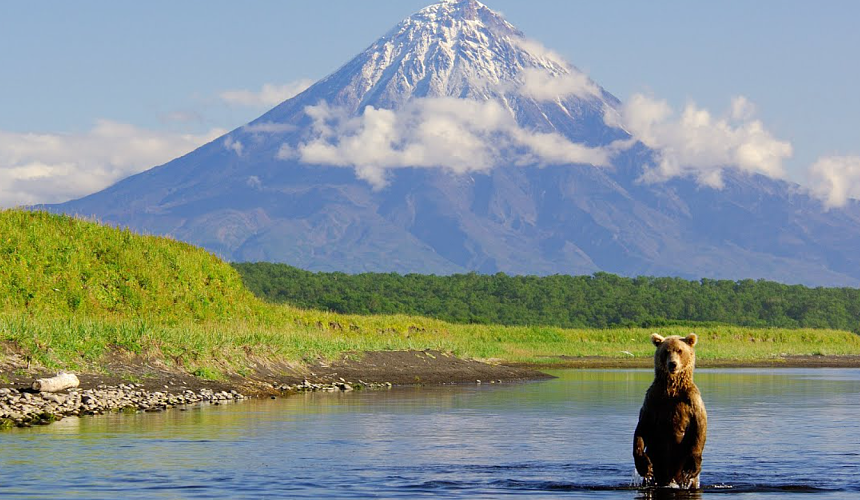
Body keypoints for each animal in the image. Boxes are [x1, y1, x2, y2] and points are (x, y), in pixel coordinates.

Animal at [632, 332, 704, 488]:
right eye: (666, 351)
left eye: (679, 350)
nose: (673, 364)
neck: (672, 389)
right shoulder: (653, 400)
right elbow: (642, 428)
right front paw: (645, 466)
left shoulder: (692, 400)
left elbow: (699, 427)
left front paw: (692, 467)